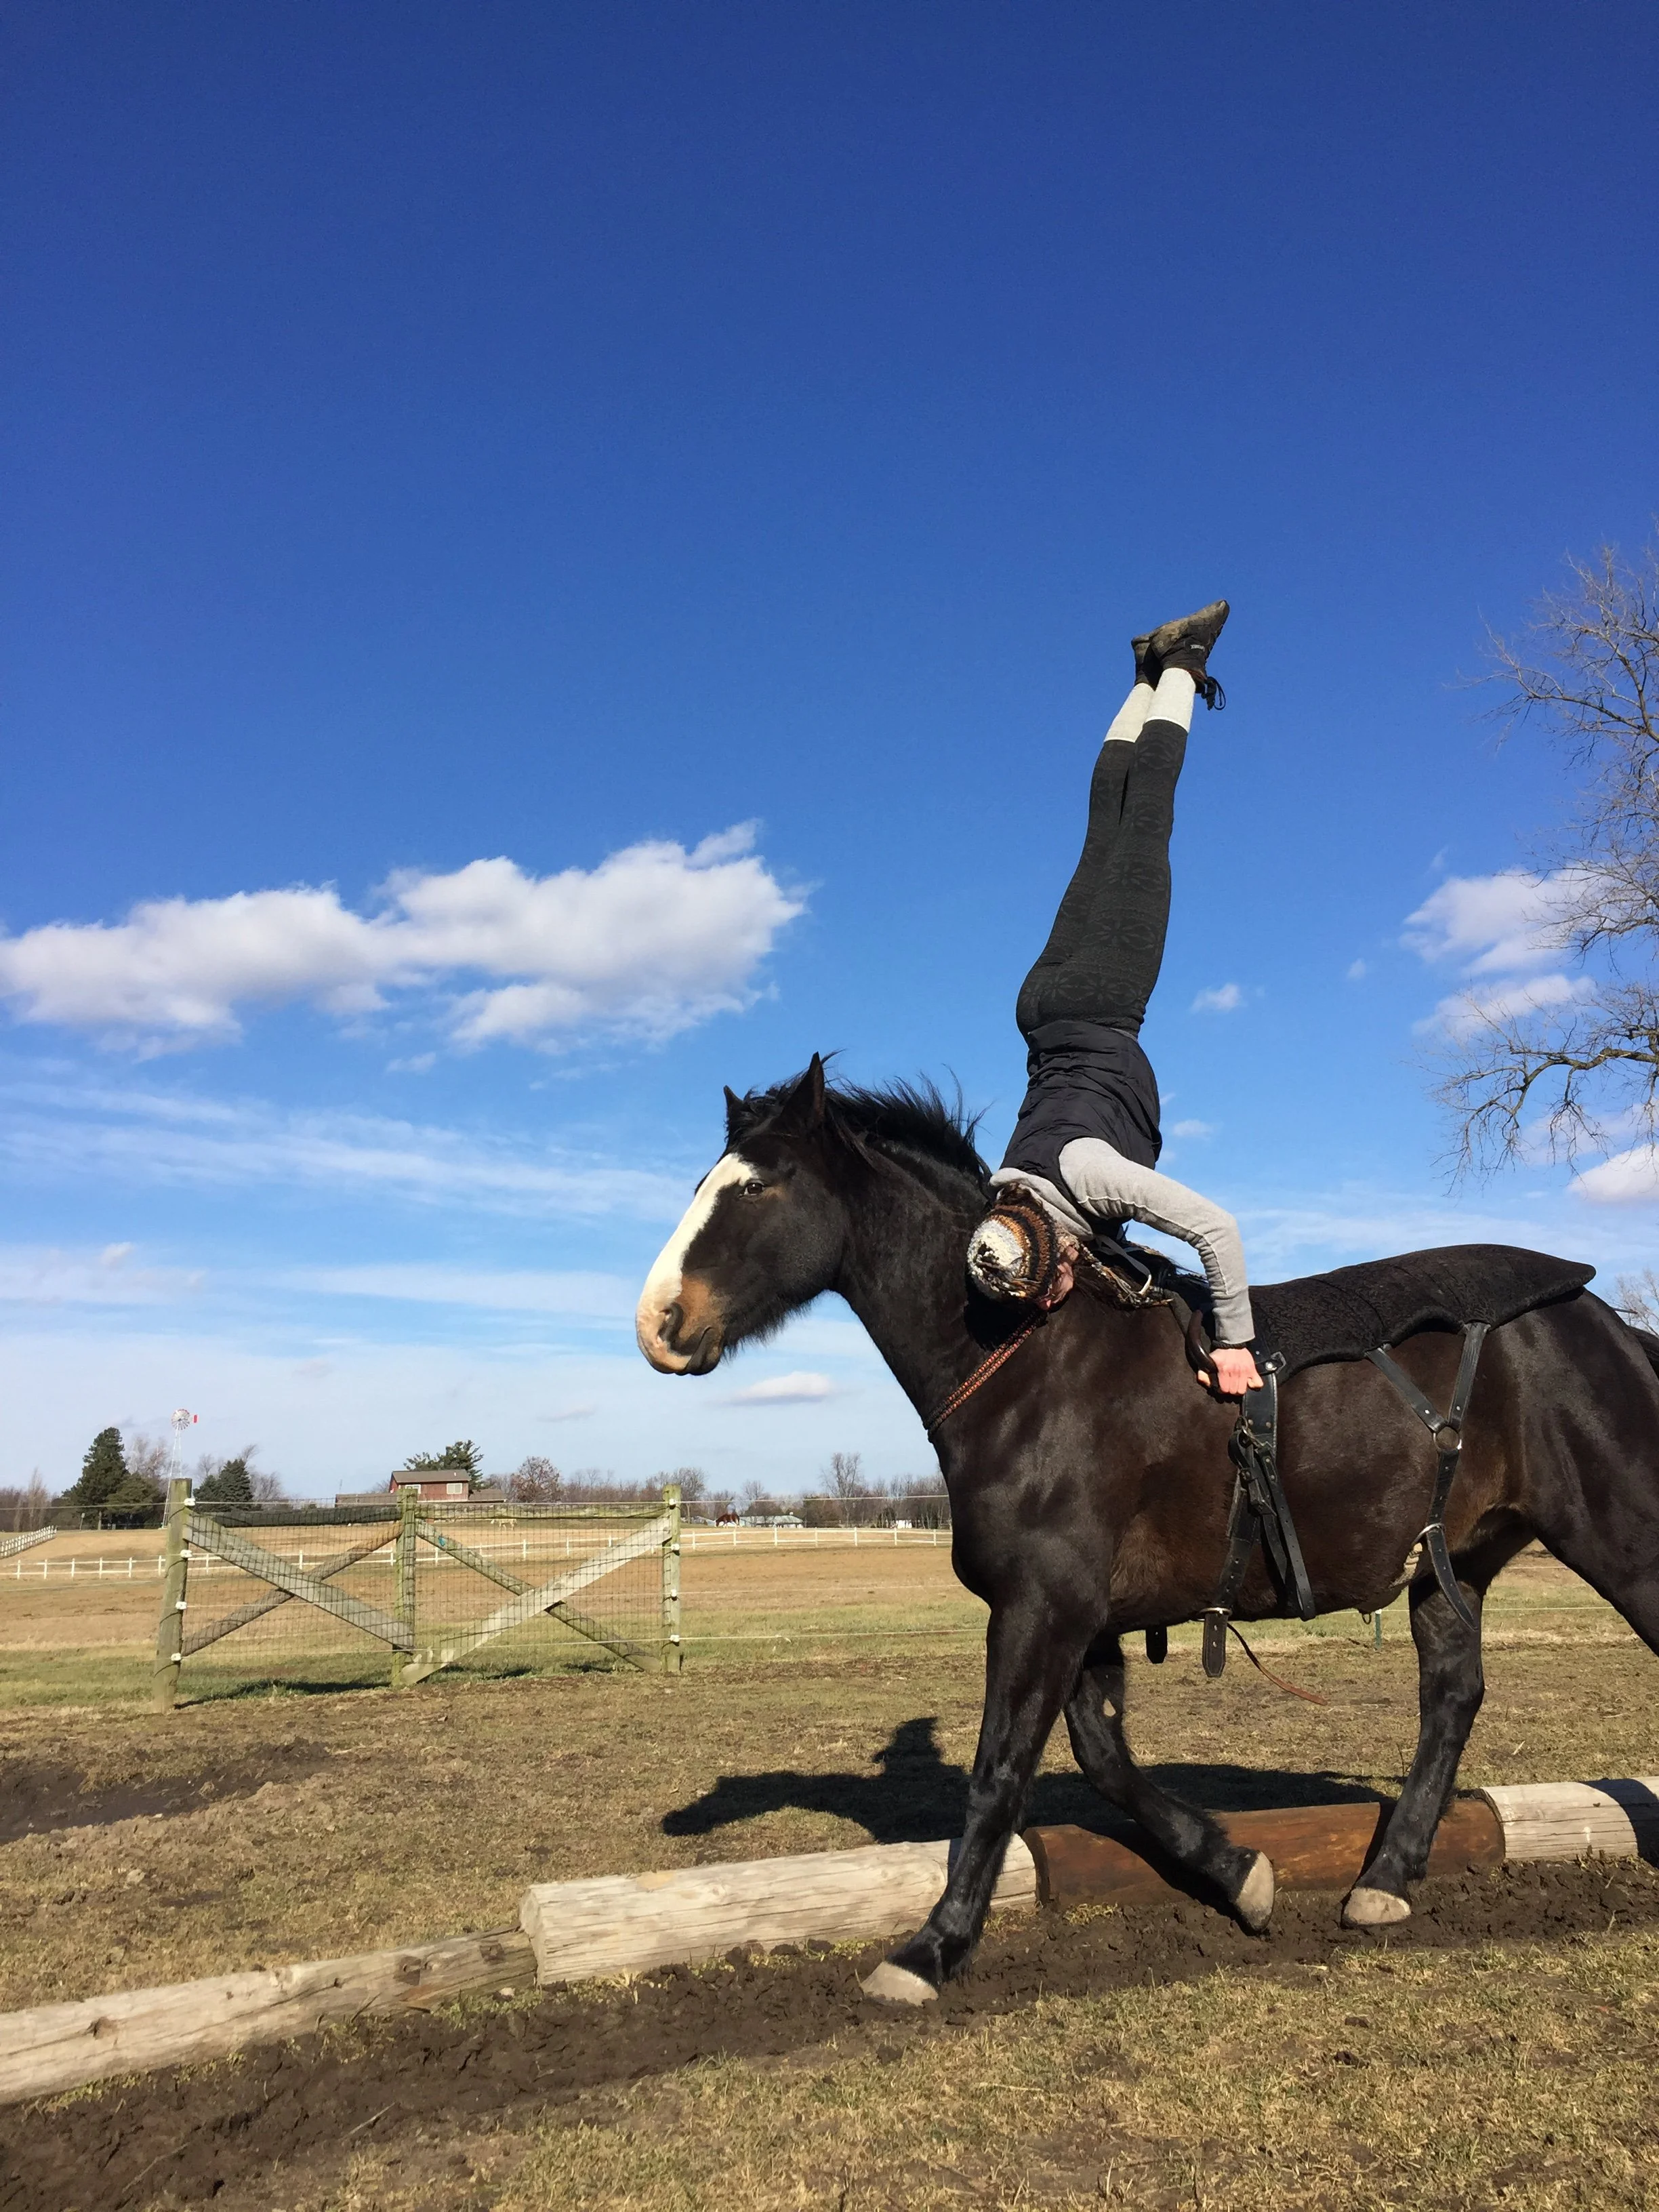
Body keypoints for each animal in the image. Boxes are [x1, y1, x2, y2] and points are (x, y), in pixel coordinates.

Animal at [635, 1057, 1659, 2005]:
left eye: (756, 1187)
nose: (659, 1323)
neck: (1029, 1362)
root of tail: (1607, 1322)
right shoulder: (1080, 1613)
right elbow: (1104, 1758)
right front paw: (1237, 1873)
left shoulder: (1041, 1608)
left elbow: (1000, 1770)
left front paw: (931, 1950)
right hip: (1456, 1564)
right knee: (1451, 1697)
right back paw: (1388, 1877)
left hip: (1616, 1534)